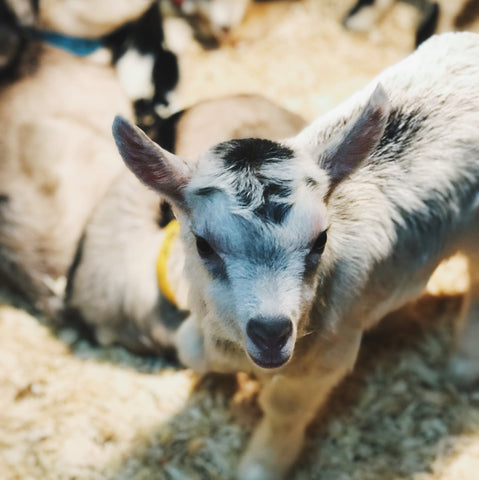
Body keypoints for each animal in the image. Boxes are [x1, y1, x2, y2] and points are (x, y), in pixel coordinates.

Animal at [111, 31, 479, 478]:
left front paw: (262, 464)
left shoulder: (331, 349)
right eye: (203, 245)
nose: (270, 332)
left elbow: (284, 405)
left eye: (321, 240)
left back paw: (463, 365)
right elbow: (189, 348)